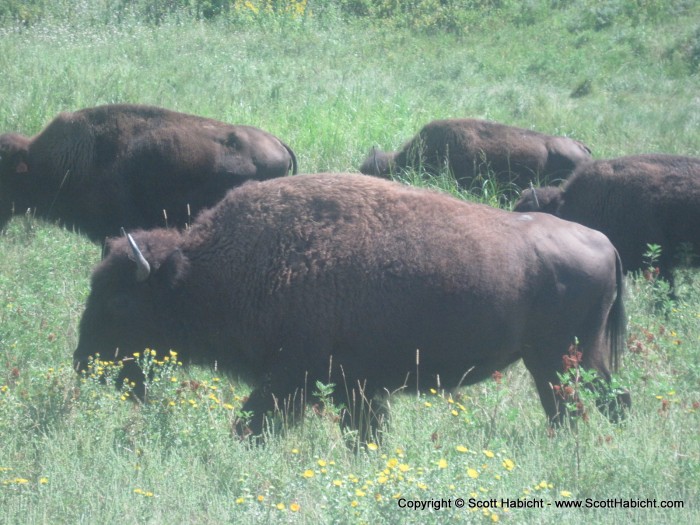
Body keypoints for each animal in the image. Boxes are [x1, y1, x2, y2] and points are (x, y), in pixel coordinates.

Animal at [74, 173, 632, 438]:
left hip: (561, 361)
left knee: (582, 407)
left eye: (120, 301)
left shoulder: (291, 378)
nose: (84, 363)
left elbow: (250, 424)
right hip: (573, 361)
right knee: (602, 403)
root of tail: (606, 243)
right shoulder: (355, 389)